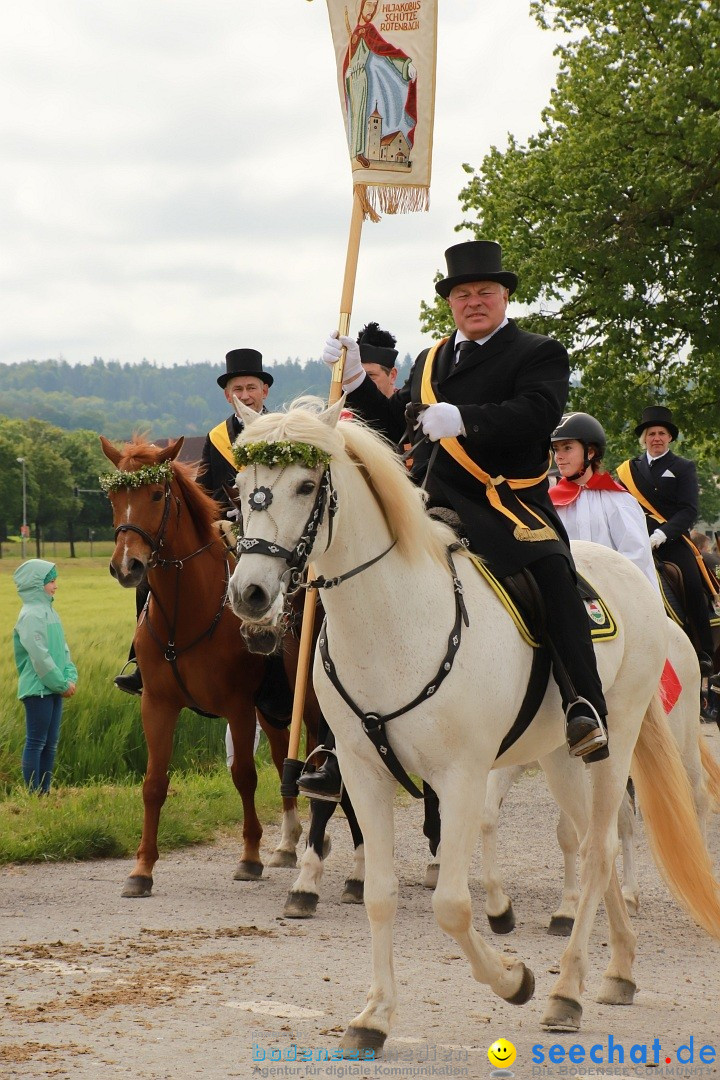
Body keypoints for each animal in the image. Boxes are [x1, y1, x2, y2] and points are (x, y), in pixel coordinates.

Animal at [225, 401, 720, 1049]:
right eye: (240, 488)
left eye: (307, 485)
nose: (251, 593)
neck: (393, 618)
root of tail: (635, 576)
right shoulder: (361, 772)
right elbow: (380, 894)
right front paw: (374, 1016)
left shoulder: (460, 776)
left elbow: (452, 906)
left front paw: (514, 979)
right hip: (559, 756)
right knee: (595, 841)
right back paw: (618, 970)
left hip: (615, 742)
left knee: (600, 848)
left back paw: (565, 992)